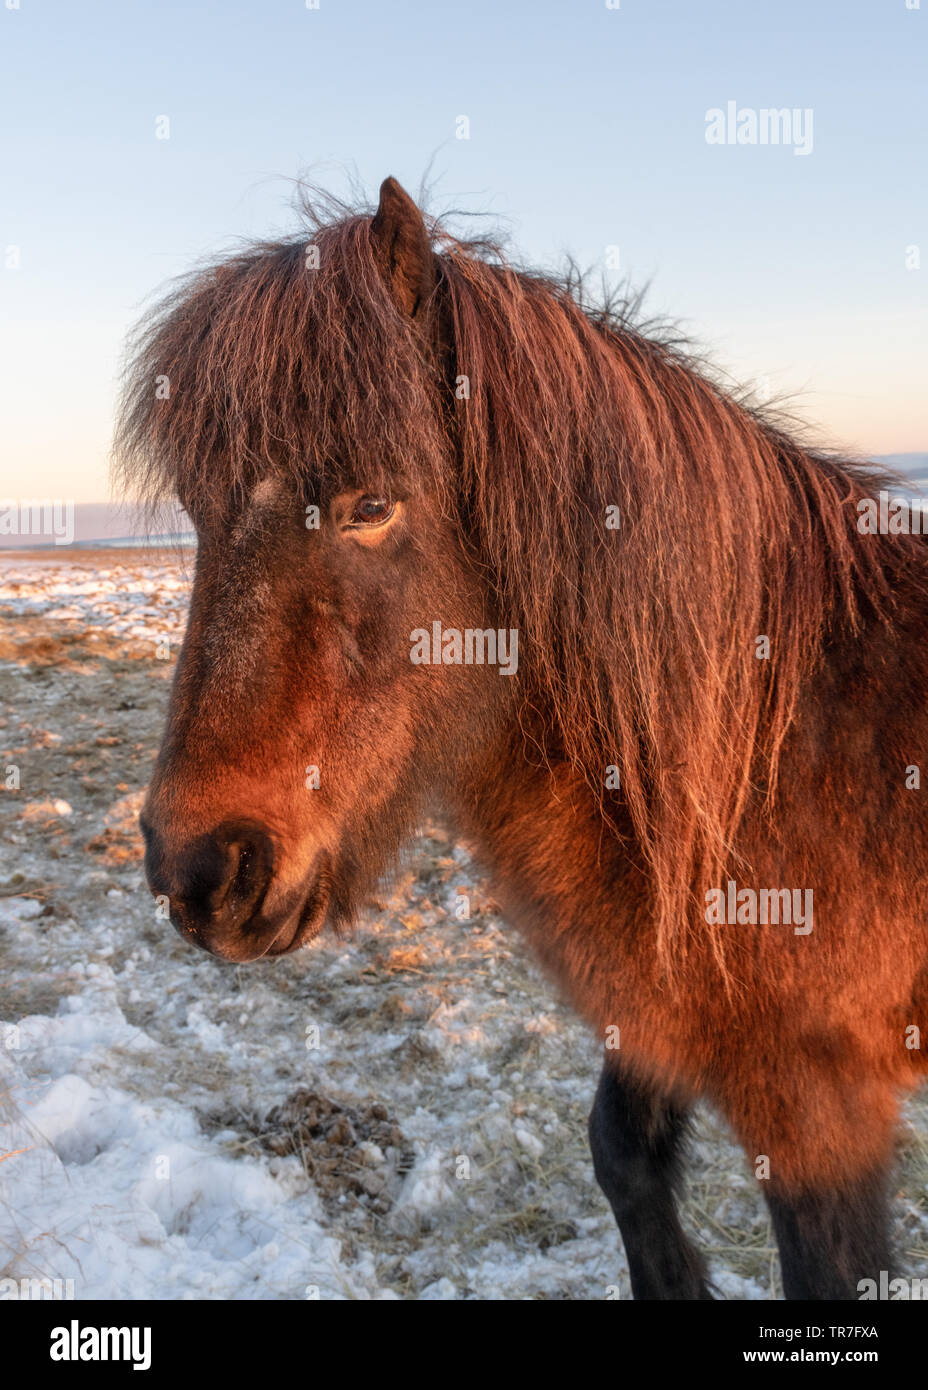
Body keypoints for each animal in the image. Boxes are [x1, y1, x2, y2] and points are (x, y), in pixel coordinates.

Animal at [116, 176, 928, 1301]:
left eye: (373, 503)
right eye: (199, 511)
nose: (201, 869)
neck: (767, 754)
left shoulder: (818, 1109)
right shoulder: (651, 1008)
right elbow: (620, 1156)